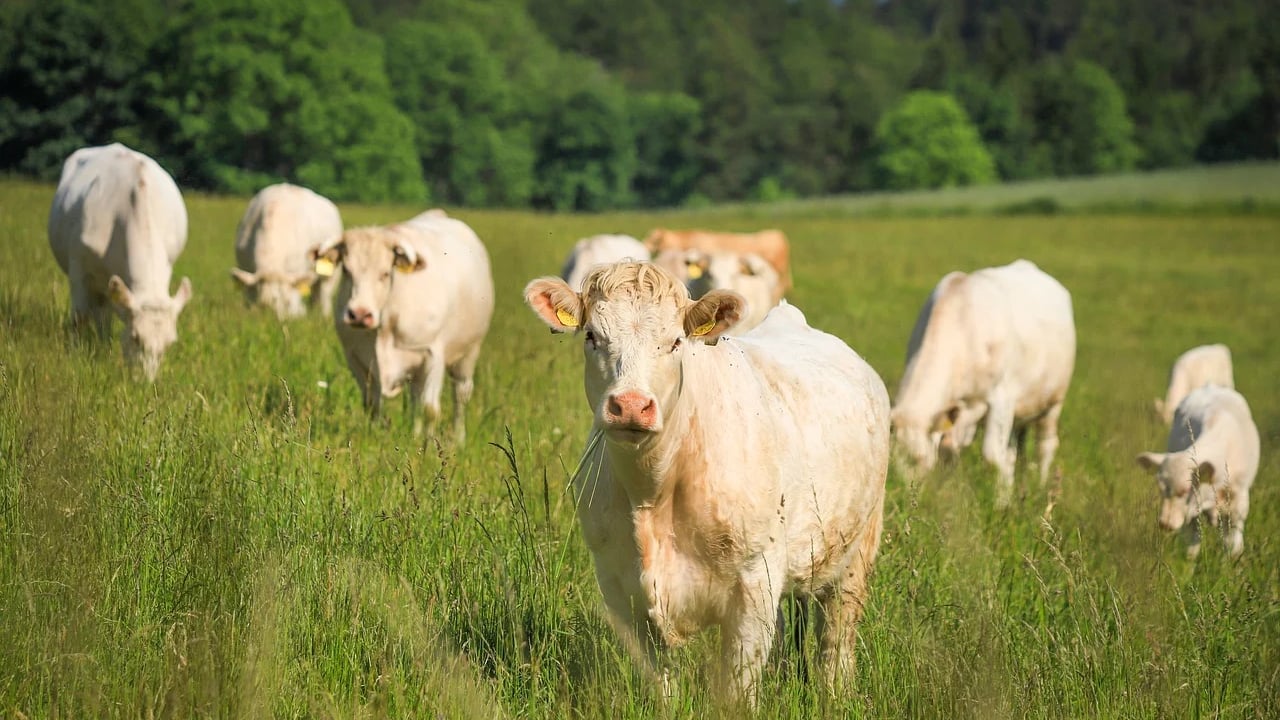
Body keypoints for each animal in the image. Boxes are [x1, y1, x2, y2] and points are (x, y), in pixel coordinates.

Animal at [47, 143, 193, 381]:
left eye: (169, 343)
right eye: (135, 337)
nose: (146, 383)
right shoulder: (78, 269)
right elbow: (80, 317)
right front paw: (77, 355)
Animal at [312, 211, 494, 442]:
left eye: (385, 273)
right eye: (346, 270)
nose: (360, 314)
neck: (385, 322)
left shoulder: (433, 356)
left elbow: (430, 410)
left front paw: (428, 447)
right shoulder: (355, 359)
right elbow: (373, 405)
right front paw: (373, 439)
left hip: (468, 354)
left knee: (460, 395)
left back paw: (458, 440)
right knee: (415, 398)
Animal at [523, 262, 890, 703]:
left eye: (676, 341)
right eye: (593, 336)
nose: (630, 405)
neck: (653, 492)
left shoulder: (755, 583)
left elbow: (738, 688)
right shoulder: (618, 584)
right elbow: (660, 682)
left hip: (857, 552)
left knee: (836, 639)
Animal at [890, 259, 1076, 508]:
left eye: (920, 459)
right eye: (891, 464)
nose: (907, 500)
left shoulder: (1002, 398)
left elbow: (992, 456)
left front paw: (1002, 504)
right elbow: (953, 452)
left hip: (1053, 402)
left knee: (1045, 445)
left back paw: (1041, 487)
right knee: (1015, 451)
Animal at [1136, 385, 1259, 558]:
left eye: (1185, 490)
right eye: (1160, 489)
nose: (1165, 524)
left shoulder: (1239, 503)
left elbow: (1232, 543)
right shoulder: (1192, 510)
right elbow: (1192, 544)